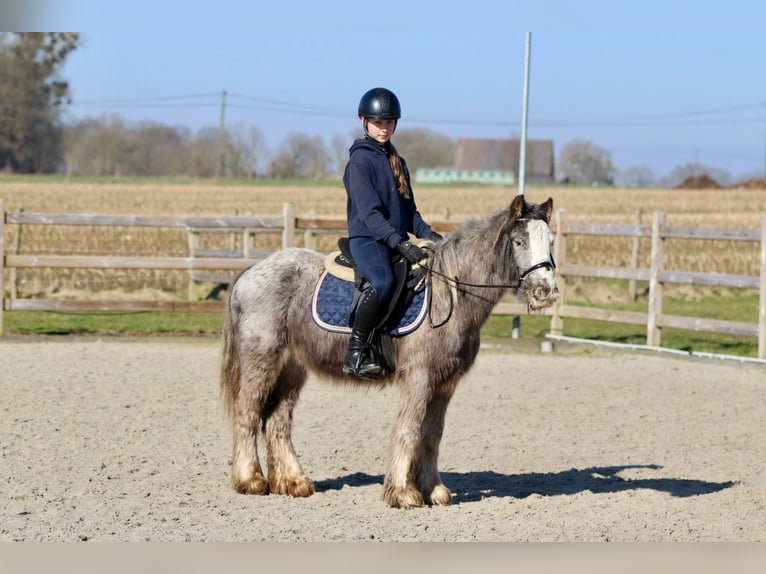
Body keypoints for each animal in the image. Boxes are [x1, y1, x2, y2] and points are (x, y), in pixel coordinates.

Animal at [219, 194, 560, 508]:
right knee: (248, 412)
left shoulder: (444, 383)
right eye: (519, 241)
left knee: (277, 420)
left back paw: (293, 481)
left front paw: (433, 490)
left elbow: (432, 434)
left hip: (292, 367)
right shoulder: (419, 377)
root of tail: (250, 272)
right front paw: (402, 492)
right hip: (261, 360)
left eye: (551, 242)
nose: (546, 291)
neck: (450, 295)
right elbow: (409, 429)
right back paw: (250, 480)